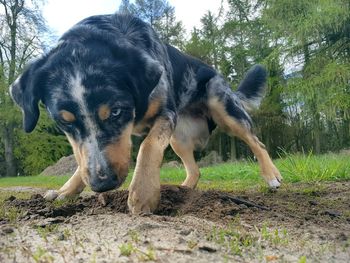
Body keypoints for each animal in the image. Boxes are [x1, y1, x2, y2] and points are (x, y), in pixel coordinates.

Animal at [8, 13, 282, 214]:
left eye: (116, 111)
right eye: (63, 122)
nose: (102, 184)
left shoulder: (165, 115)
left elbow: (148, 147)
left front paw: (143, 194)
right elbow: (81, 160)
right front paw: (66, 190)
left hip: (223, 106)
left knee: (257, 142)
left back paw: (271, 175)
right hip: (179, 138)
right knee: (195, 170)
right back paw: (183, 190)